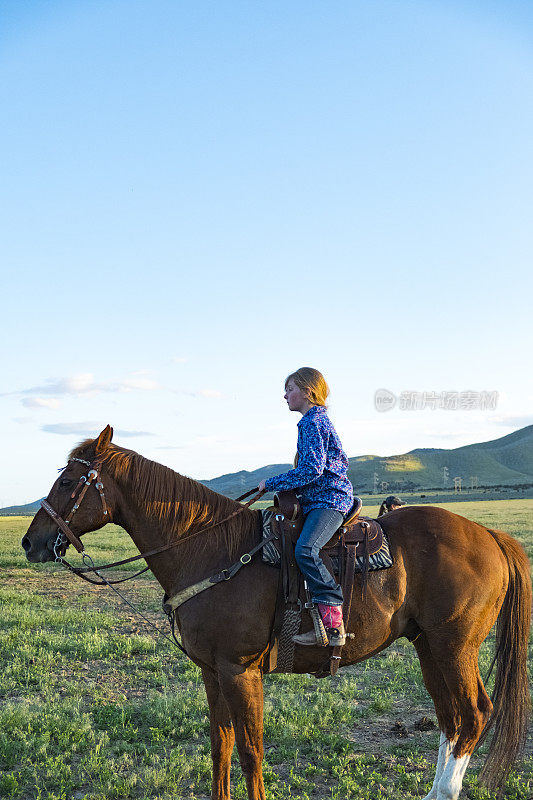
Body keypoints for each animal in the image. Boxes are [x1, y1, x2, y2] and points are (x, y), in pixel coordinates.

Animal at [20, 424, 528, 800]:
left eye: (67, 482)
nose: (30, 542)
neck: (209, 549)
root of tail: (489, 535)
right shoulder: (212, 671)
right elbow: (220, 746)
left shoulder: (239, 670)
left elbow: (249, 751)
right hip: (427, 645)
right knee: (451, 720)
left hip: (454, 646)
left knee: (474, 715)